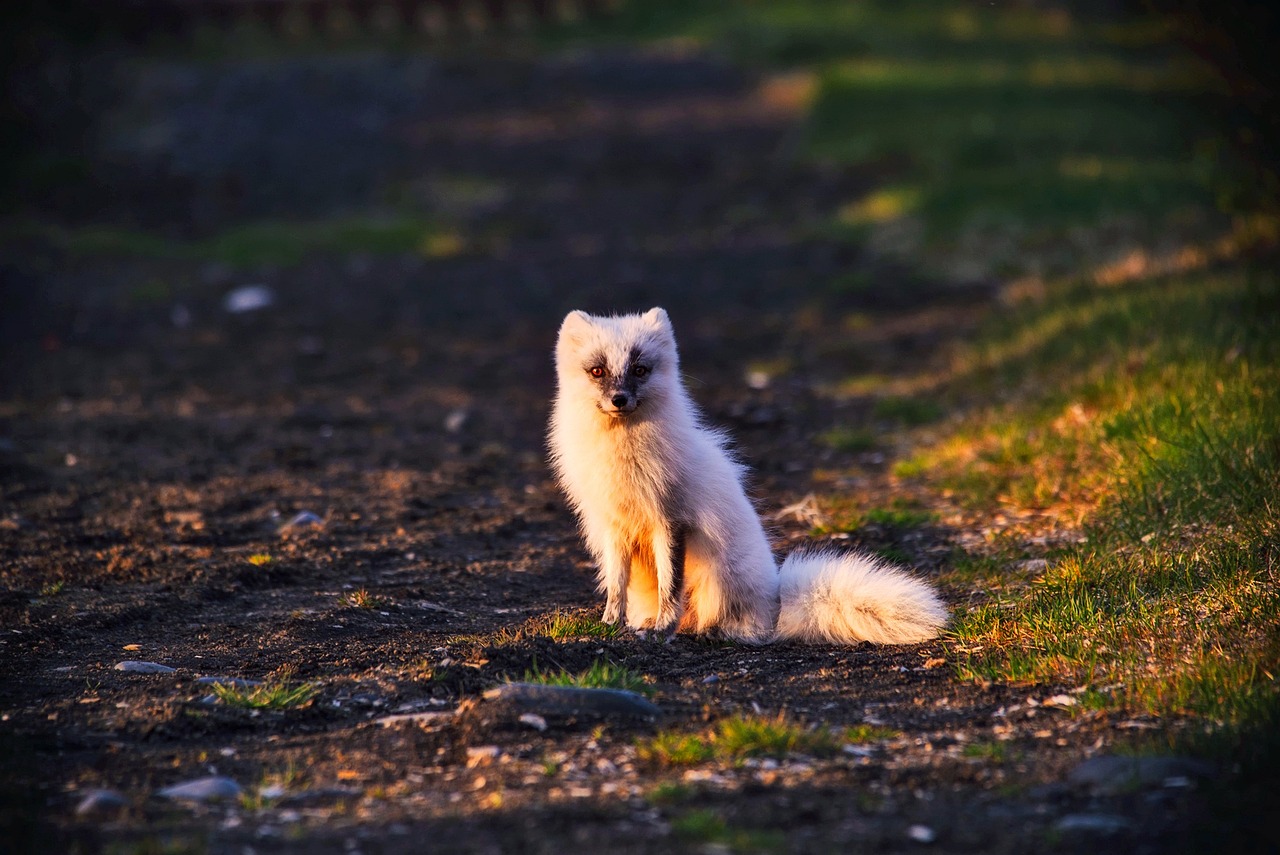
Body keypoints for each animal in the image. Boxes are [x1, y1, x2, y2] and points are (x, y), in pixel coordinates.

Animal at [545, 311, 947, 645]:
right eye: (597, 371)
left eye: (640, 370)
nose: (619, 399)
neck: (620, 458)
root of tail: (777, 603)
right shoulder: (614, 526)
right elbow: (617, 585)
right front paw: (610, 624)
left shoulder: (670, 520)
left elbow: (669, 588)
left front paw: (662, 630)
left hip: (719, 578)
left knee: (740, 627)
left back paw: (709, 632)